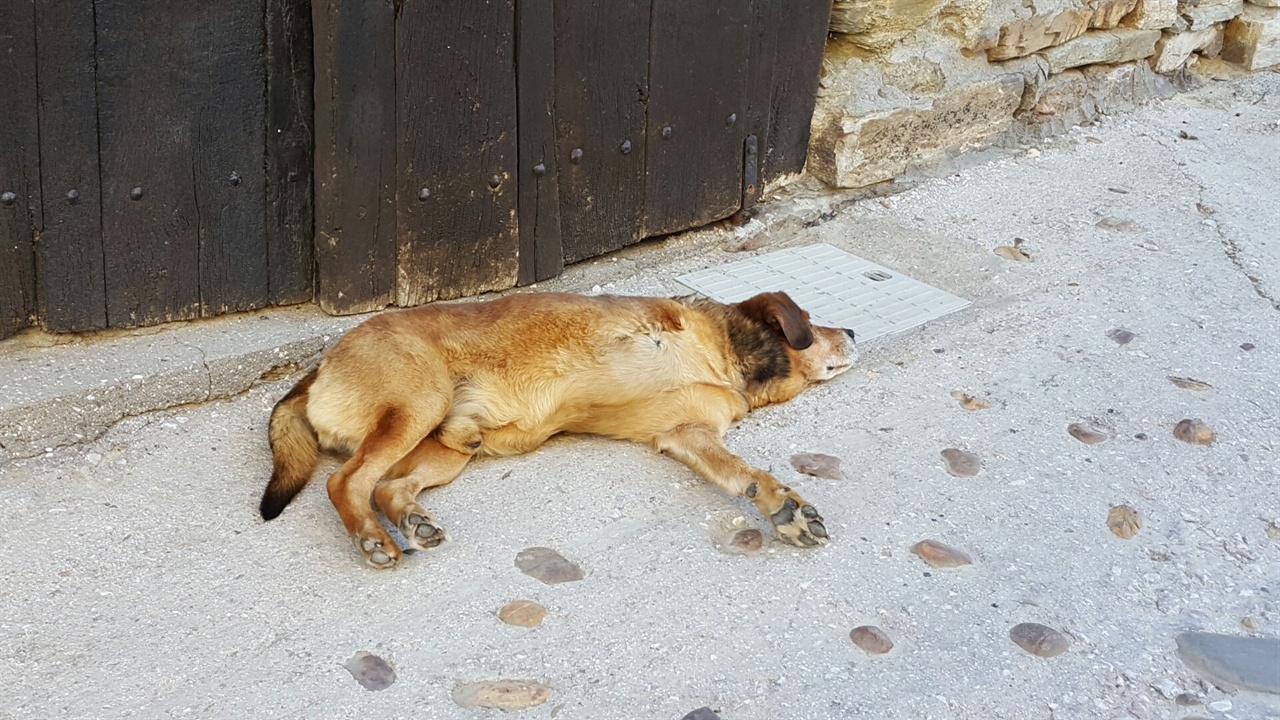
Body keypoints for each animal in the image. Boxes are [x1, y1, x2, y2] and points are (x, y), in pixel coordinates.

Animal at [259, 288, 860, 563]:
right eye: (812, 322)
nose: (852, 330)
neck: (726, 357)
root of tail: (318, 368)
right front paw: (786, 504)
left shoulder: (688, 434)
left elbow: (743, 473)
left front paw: (780, 507)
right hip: (419, 402)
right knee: (347, 482)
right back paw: (372, 538)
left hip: (449, 447)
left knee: (387, 486)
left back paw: (411, 521)